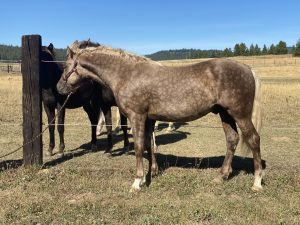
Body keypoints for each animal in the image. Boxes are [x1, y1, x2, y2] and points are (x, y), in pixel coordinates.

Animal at [56, 40, 262, 192]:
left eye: (66, 66)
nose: (59, 88)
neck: (126, 74)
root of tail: (248, 69)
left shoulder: (137, 116)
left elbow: (139, 147)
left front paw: (137, 182)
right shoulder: (148, 118)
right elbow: (149, 145)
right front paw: (149, 174)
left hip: (240, 114)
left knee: (253, 139)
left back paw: (257, 182)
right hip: (225, 114)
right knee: (232, 139)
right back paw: (221, 176)